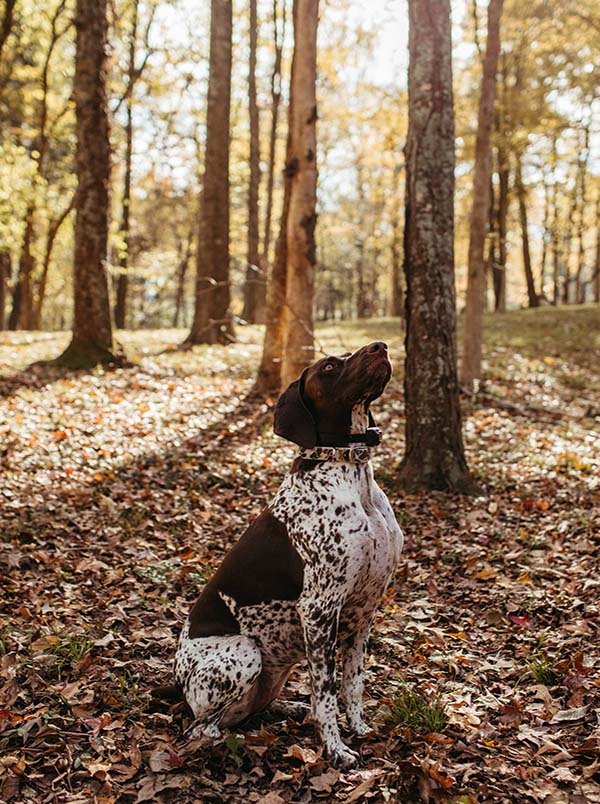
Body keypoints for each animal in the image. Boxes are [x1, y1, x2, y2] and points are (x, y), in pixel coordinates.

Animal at [166, 340, 406, 768]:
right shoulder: (319, 609)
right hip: (245, 653)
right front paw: (335, 749)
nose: (380, 346)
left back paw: (291, 709)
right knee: (202, 728)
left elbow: (353, 683)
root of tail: (177, 682)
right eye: (329, 366)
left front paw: (359, 728)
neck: (352, 475)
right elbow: (326, 692)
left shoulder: (365, 609)